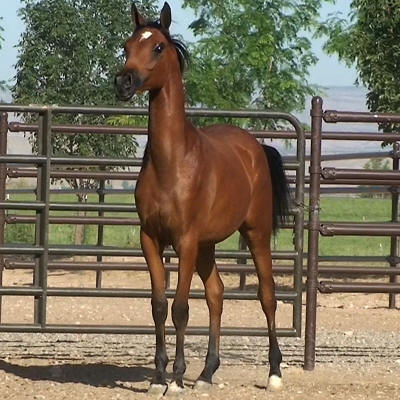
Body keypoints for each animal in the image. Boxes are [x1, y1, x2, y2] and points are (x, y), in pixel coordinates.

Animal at [114, 2, 290, 396]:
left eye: (158, 47)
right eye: (127, 45)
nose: (123, 82)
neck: (172, 162)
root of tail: (255, 147)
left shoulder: (186, 241)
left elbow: (180, 308)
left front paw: (177, 380)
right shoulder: (150, 239)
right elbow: (159, 306)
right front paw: (159, 378)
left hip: (254, 233)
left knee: (267, 295)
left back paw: (274, 373)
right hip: (208, 246)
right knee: (217, 294)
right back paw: (207, 373)